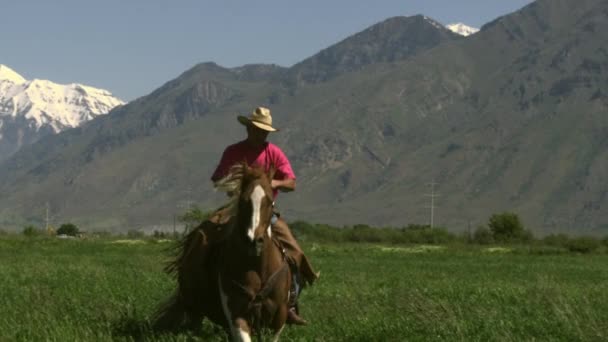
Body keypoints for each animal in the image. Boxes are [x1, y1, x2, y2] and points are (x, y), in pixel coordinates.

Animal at [154, 164, 292, 342]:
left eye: (270, 201)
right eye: (243, 201)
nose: (254, 240)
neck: (257, 266)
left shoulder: (279, 315)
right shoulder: (236, 314)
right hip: (194, 308)